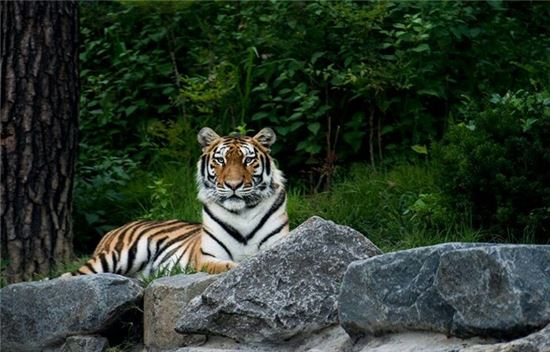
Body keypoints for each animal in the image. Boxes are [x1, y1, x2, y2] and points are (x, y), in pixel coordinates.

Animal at [65, 128, 292, 276]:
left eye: (248, 160)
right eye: (220, 160)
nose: (233, 185)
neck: (242, 213)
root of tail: (115, 229)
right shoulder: (207, 256)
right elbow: (222, 266)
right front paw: (236, 269)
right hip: (119, 255)